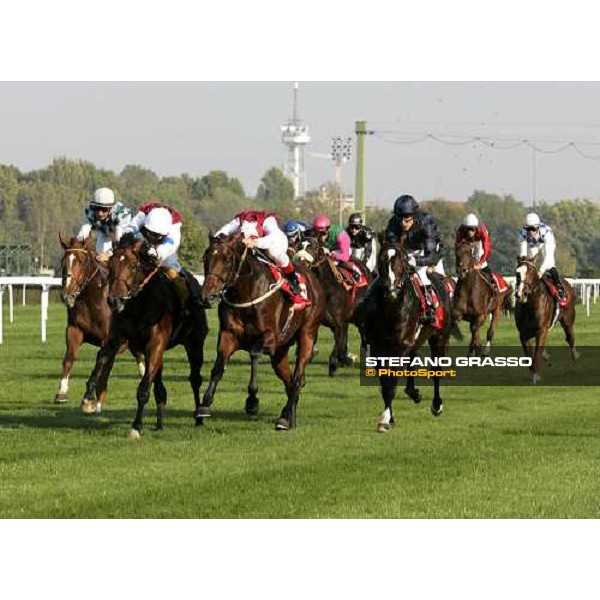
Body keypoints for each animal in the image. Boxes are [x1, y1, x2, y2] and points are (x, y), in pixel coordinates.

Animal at [57, 232, 144, 410]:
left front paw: (89, 397)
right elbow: (69, 358)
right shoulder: (74, 330)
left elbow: (101, 363)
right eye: (63, 262)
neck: (92, 301)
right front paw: (62, 392)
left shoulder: (109, 339)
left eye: (81, 262)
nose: (67, 294)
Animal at [83, 234, 207, 440]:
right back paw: (159, 422)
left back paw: (199, 416)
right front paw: (87, 399)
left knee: (195, 379)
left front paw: (136, 427)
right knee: (158, 386)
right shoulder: (117, 338)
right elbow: (101, 359)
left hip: (194, 344)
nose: (114, 300)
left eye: (133, 266)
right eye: (111, 264)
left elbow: (143, 389)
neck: (140, 304)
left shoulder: (155, 343)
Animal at [199, 234, 326, 432]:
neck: (245, 293)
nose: (207, 296)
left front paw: (252, 401)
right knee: (290, 382)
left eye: (226, 259)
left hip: (308, 334)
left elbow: (254, 353)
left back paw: (284, 418)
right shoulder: (228, 335)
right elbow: (218, 367)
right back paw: (289, 417)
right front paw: (204, 404)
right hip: (280, 353)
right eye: (205, 258)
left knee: (297, 378)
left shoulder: (270, 337)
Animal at [364, 238, 452, 432]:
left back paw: (437, 405)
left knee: (436, 370)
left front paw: (385, 420)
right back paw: (414, 393)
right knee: (412, 362)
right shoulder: (378, 347)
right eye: (381, 260)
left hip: (439, 337)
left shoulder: (401, 344)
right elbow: (385, 381)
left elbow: (391, 382)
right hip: (416, 340)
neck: (392, 309)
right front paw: (389, 418)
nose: (390, 288)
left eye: (401, 261)